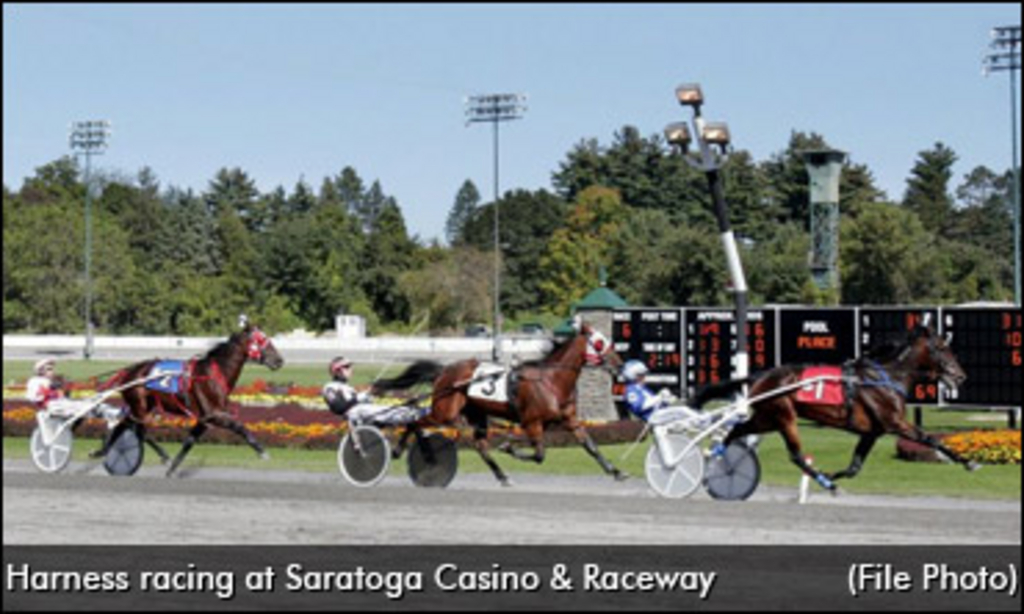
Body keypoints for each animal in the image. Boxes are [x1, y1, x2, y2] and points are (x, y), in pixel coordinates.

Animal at [90, 319, 284, 476]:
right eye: (261, 340)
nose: (279, 360)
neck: (213, 374)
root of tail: (129, 371)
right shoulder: (214, 415)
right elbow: (239, 427)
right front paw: (261, 451)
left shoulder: (204, 419)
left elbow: (189, 441)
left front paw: (172, 470)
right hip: (139, 405)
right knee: (139, 430)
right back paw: (161, 455)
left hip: (144, 405)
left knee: (124, 424)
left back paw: (103, 451)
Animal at [376, 321, 626, 485]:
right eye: (599, 343)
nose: (620, 364)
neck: (550, 380)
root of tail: (445, 371)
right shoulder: (532, 422)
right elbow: (538, 454)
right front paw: (509, 446)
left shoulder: (569, 420)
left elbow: (590, 446)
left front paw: (615, 471)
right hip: (444, 411)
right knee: (415, 421)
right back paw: (403, 451)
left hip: (475, 414)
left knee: (480, 444)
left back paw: (502, 475)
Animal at [696, 321, 974, 493]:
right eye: (942, 348)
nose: (960, 376)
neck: (887, 376)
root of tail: (760, 377)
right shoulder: (895, 423)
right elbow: (930, 439)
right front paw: (968, 461)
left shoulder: (872, 432)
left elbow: (854, 468)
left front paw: (832, 475)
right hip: (784, 415)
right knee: (795, 455)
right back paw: (821, 481)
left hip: (766, 418)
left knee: (736, 431)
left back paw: (719, 461)